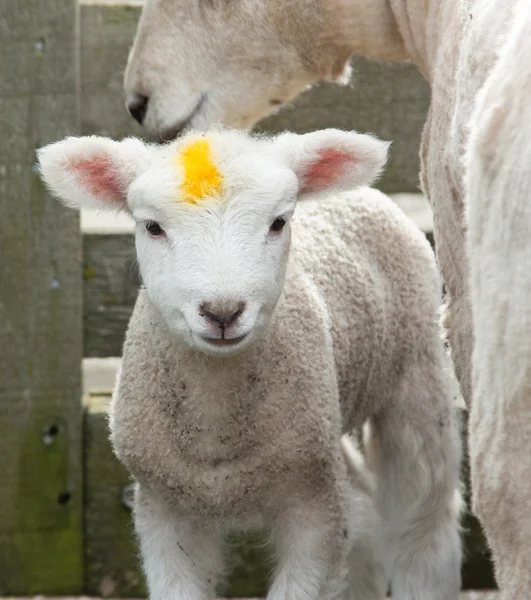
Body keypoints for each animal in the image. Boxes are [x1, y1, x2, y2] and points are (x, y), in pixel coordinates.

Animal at [38, 127, 462, 600]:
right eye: (152, 227)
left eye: (278, 222)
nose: (222, 312)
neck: (218, 430)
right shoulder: (165, 509)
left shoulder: (313, 509)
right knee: (363, 507)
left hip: (419, 372)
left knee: (422, 523)